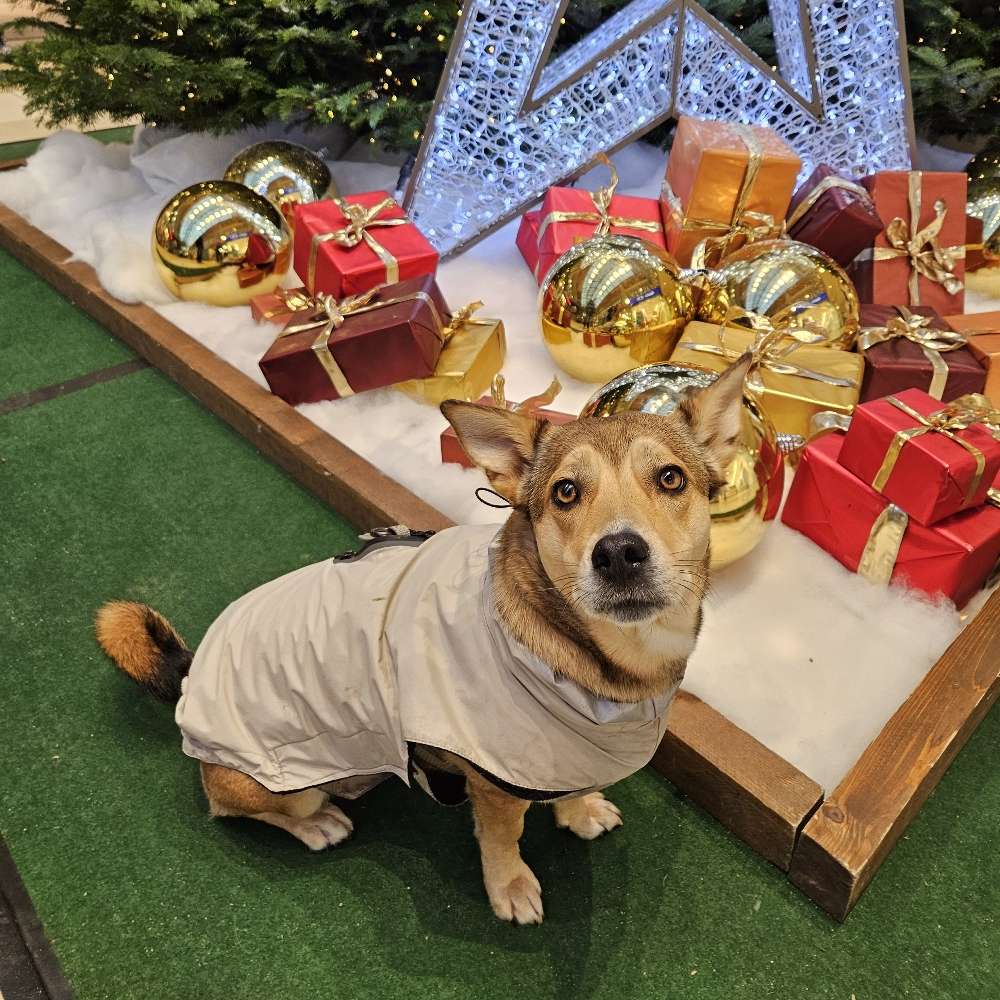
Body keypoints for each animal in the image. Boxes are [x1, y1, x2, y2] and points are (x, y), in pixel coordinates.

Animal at [95, 356, 752, 924]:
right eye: (565, 492)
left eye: (671, 478)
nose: (618, 552)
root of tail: (191, 669)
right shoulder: (495, 784)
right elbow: (504, 838)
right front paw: (510, 888)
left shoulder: (560, 756)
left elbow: (570, 787)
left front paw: (579, 809)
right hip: (271, 785)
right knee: (234, 806)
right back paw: (317, 824)